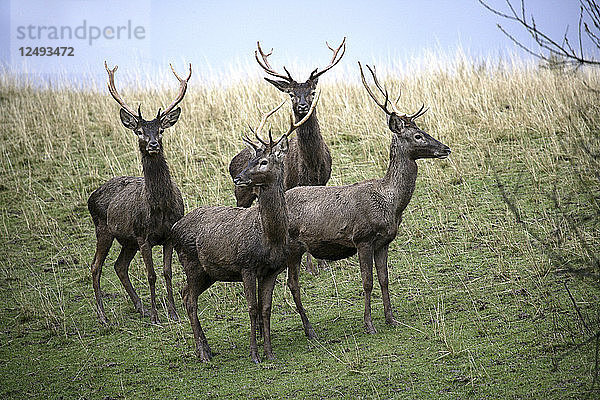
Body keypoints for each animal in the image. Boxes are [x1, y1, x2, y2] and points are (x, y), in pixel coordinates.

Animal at [86, 61, 190, 324]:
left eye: (161, 130)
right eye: (140, 131)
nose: (153, 144)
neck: (160, 207)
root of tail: (91, 196)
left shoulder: (168, 235)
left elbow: (167, 273)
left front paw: (173, 313)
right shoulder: (143, 236)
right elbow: (151, 275)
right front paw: (156, 316)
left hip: (127, 240)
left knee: (119, 266)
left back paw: (139, 306)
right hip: (104, 229)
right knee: (95, 266)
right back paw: (103, 316)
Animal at [172, 93, 318, 362]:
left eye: (263, 161)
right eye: (250, 159)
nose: (238, 177)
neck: (269, 237)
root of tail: (174, 228)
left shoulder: (272, 270)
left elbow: (266, 308)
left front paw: (269, 352)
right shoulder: (246, 265)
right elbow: (252, 308)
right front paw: (254, 354)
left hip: (208, 272)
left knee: (186, 293)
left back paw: (206, 348)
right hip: (191, 263)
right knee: (188, 298)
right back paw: (203, 353)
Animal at [227, 38, 344, 276]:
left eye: (312, 91)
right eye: (291, 93)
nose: (302, 106)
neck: (311, 166)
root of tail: (233, 161)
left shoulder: (323, 182)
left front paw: (322, 264)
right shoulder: (291, 186)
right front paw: (310, 267)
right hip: (241, 194)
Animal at [284, 64, 450, 334]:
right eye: (417, 136)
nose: (445, 148)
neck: (390, 204)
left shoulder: (384, 241)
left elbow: (384, 279)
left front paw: (391, 318)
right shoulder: (362, 238)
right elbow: (367, 282)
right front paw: (369, 324)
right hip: (291, 245)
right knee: (292, 284)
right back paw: (308, 329)